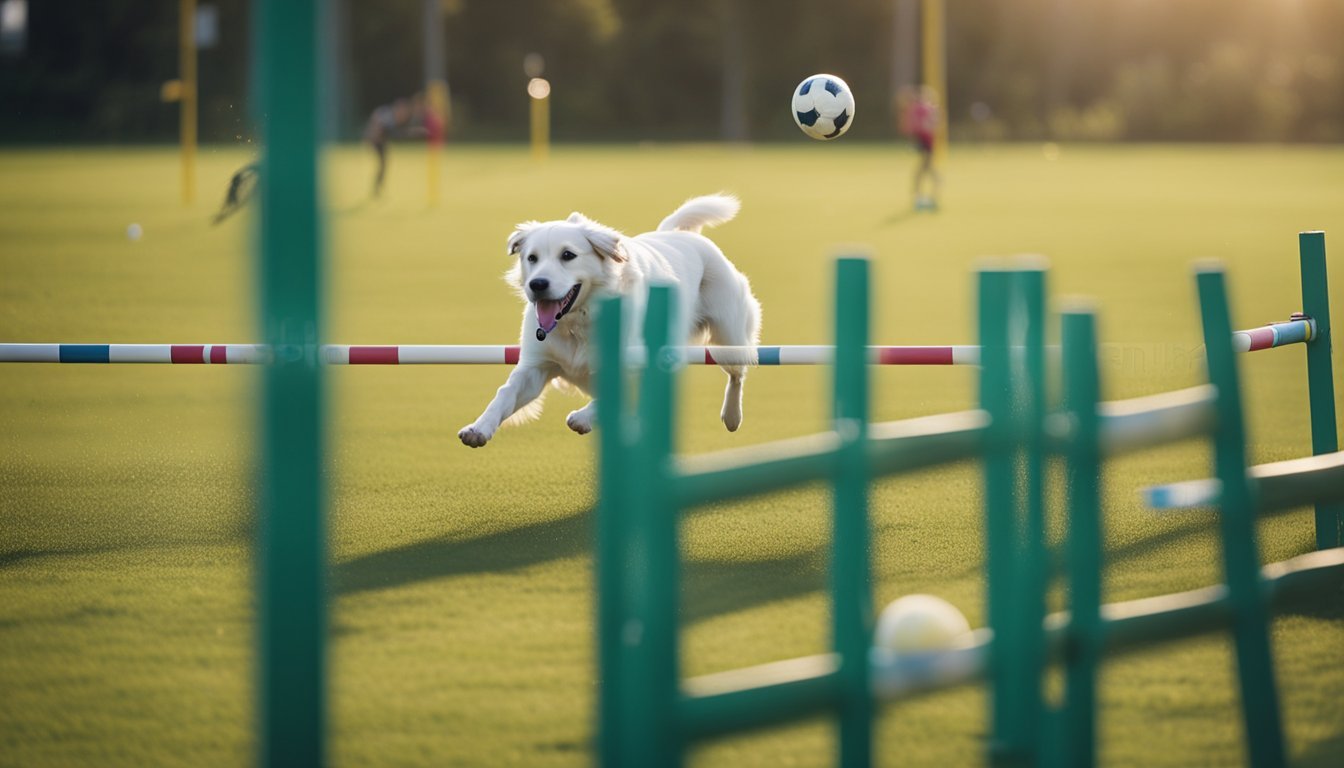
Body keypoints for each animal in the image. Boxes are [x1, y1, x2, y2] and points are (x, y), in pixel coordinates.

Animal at [459, 192, 758, 446]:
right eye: (532, 258)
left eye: (568, 255)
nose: (537, 284)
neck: (578, 323)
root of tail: (677, 233)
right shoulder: (535, 366)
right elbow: (505, 394)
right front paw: (478, 428)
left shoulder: (635, 363)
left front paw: (581, 418)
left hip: (728, 339)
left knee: (737, 374)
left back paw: (732, 416)